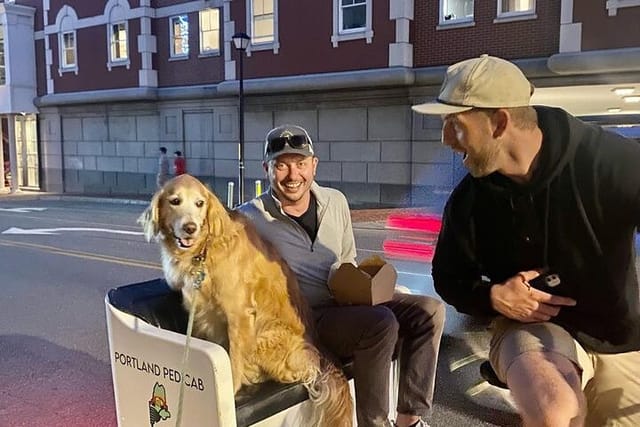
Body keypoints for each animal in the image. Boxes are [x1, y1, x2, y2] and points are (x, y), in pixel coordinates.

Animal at [139, 175, 356, 427]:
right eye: (175, 201)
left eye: (199, 203)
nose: (189, 228)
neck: (205, 250)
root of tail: (318, 350)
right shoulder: (200, 314)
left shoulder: (239, 314)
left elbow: (234, 357)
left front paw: (233, 387)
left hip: (265, 339)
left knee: (300, 370)